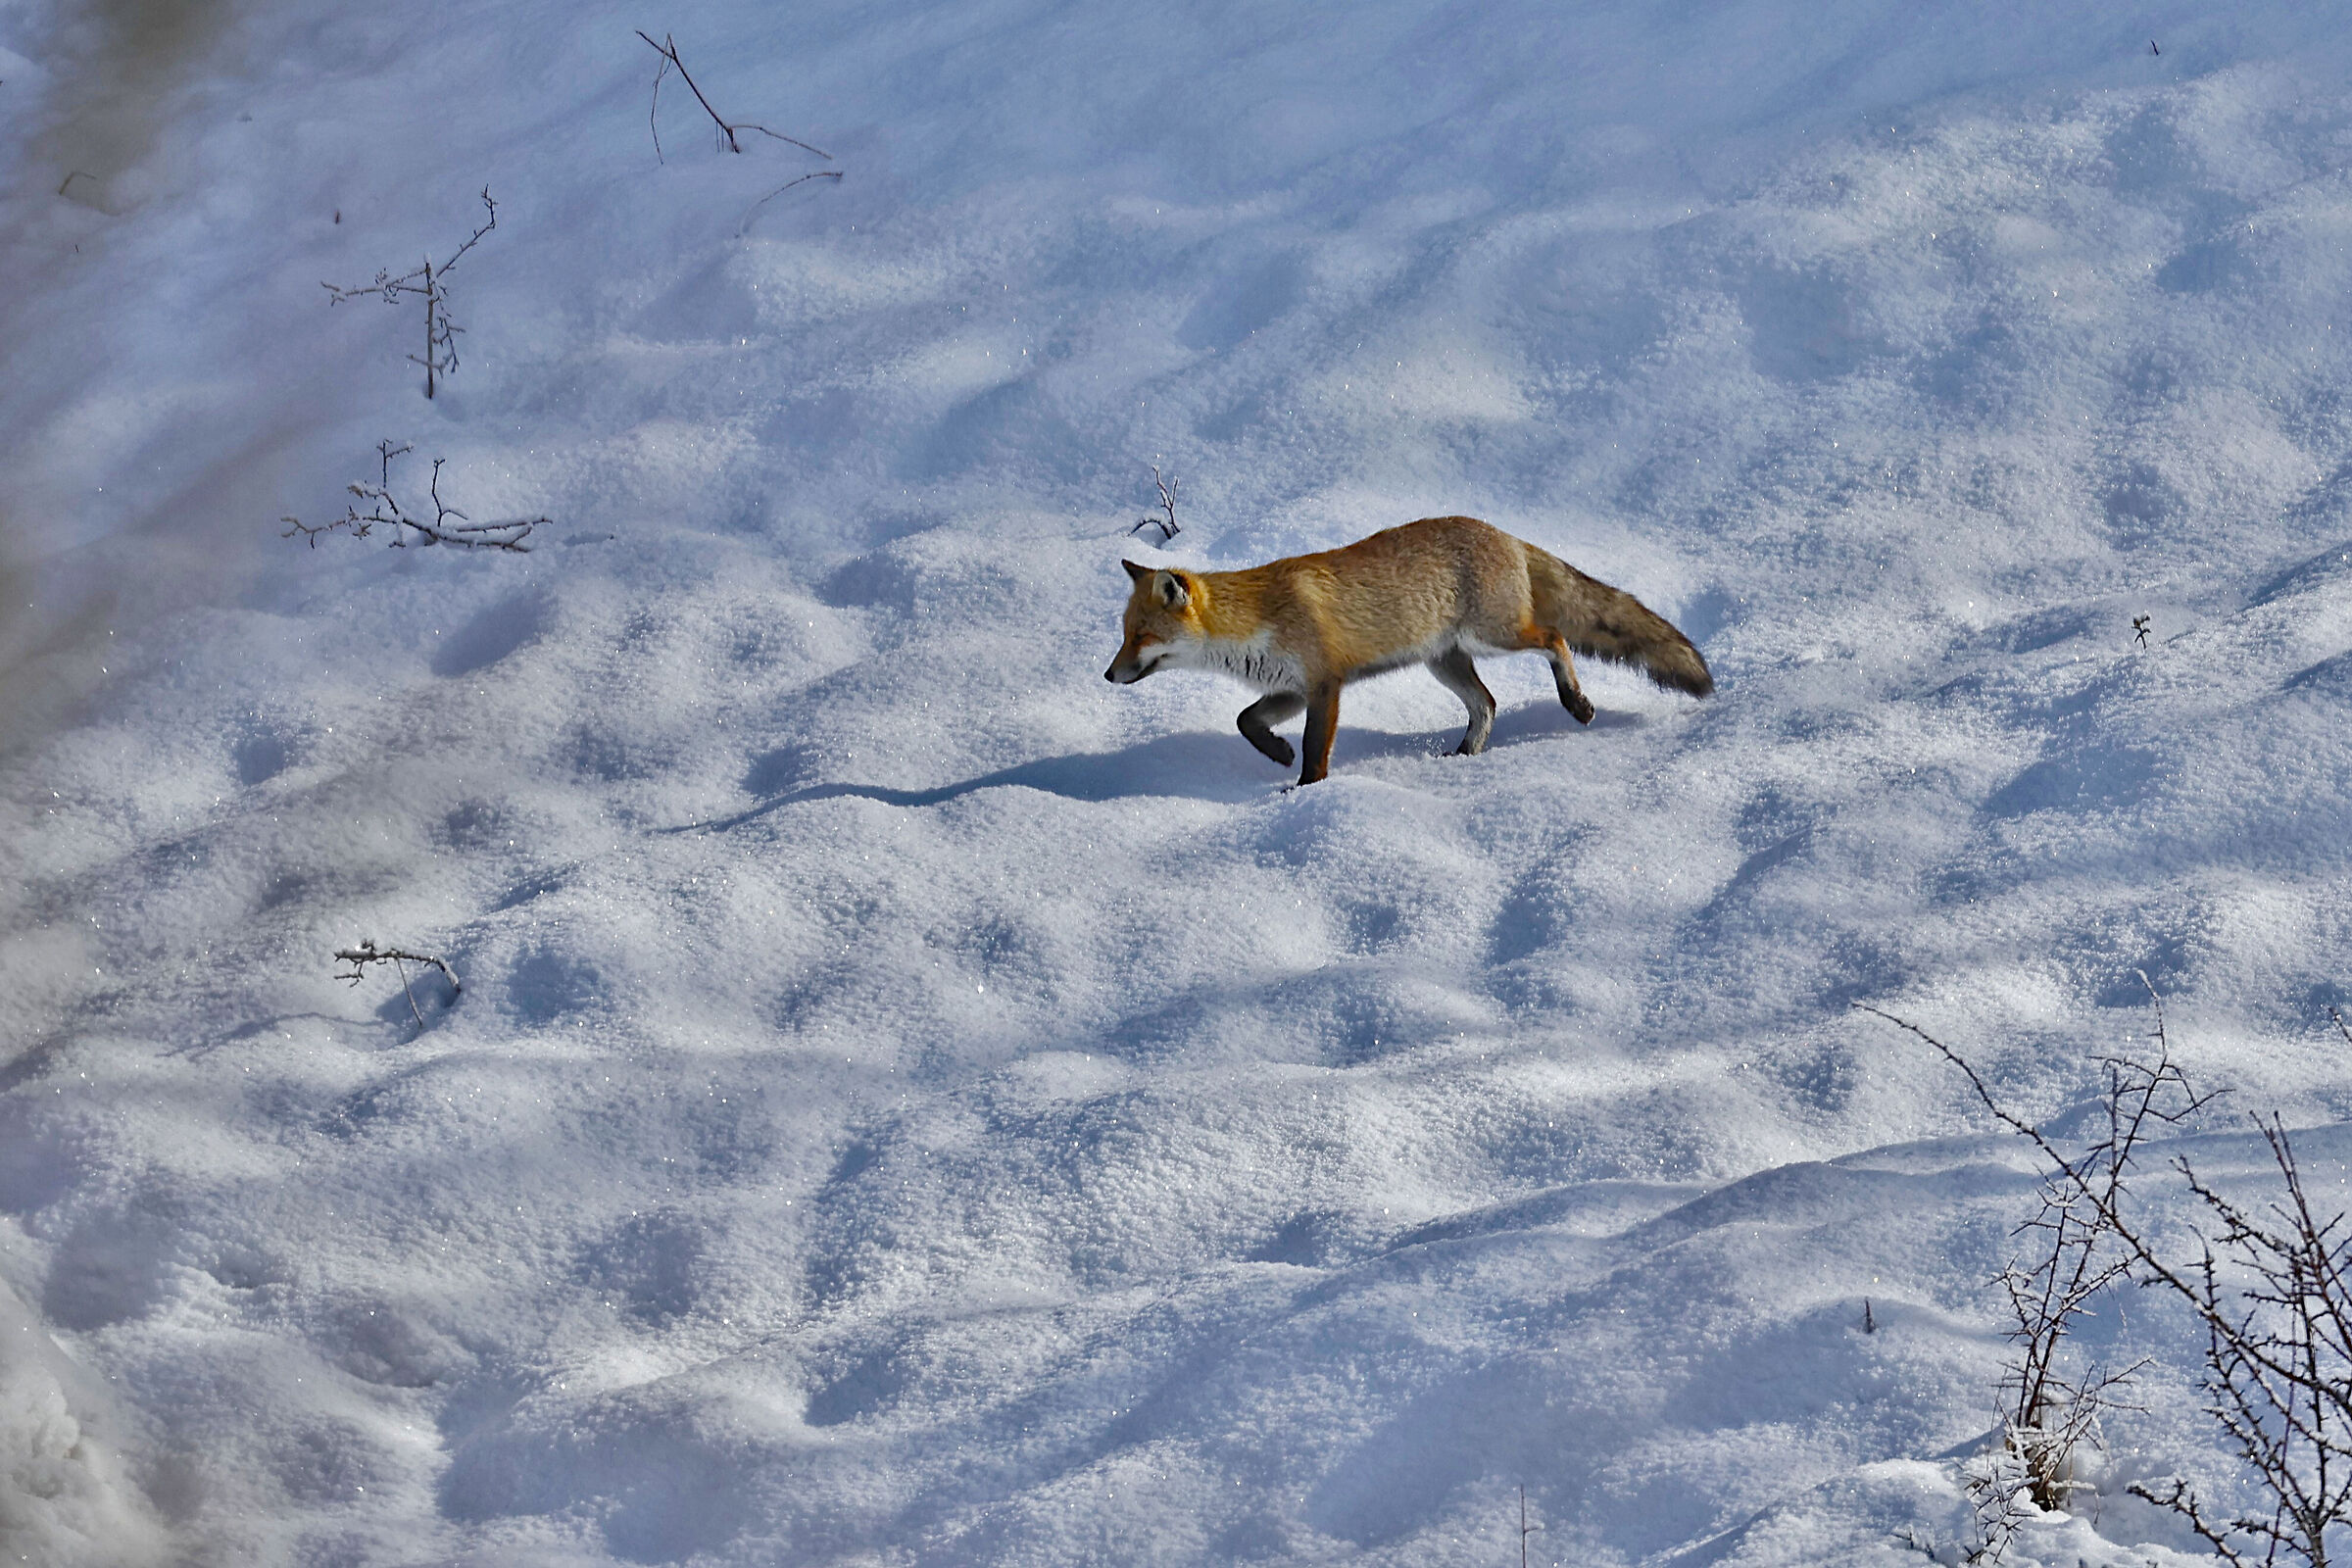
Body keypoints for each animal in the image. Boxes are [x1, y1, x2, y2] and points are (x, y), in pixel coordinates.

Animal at [1104, 515, 1712, 786]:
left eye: (1141, 637)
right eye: (1124, 634)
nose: (1109, 676)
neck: (1256, 619)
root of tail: (1504, 533)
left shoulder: (1324, 683)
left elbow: (1315, 749)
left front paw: (1306, 790)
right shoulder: (1289, 688)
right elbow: (1245, 720)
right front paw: (1277, 754)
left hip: (1497, 635)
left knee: (1555, 639)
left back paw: (1576, 703)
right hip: (1445, 661)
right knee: (1487, 704)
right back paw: (1465, 757)